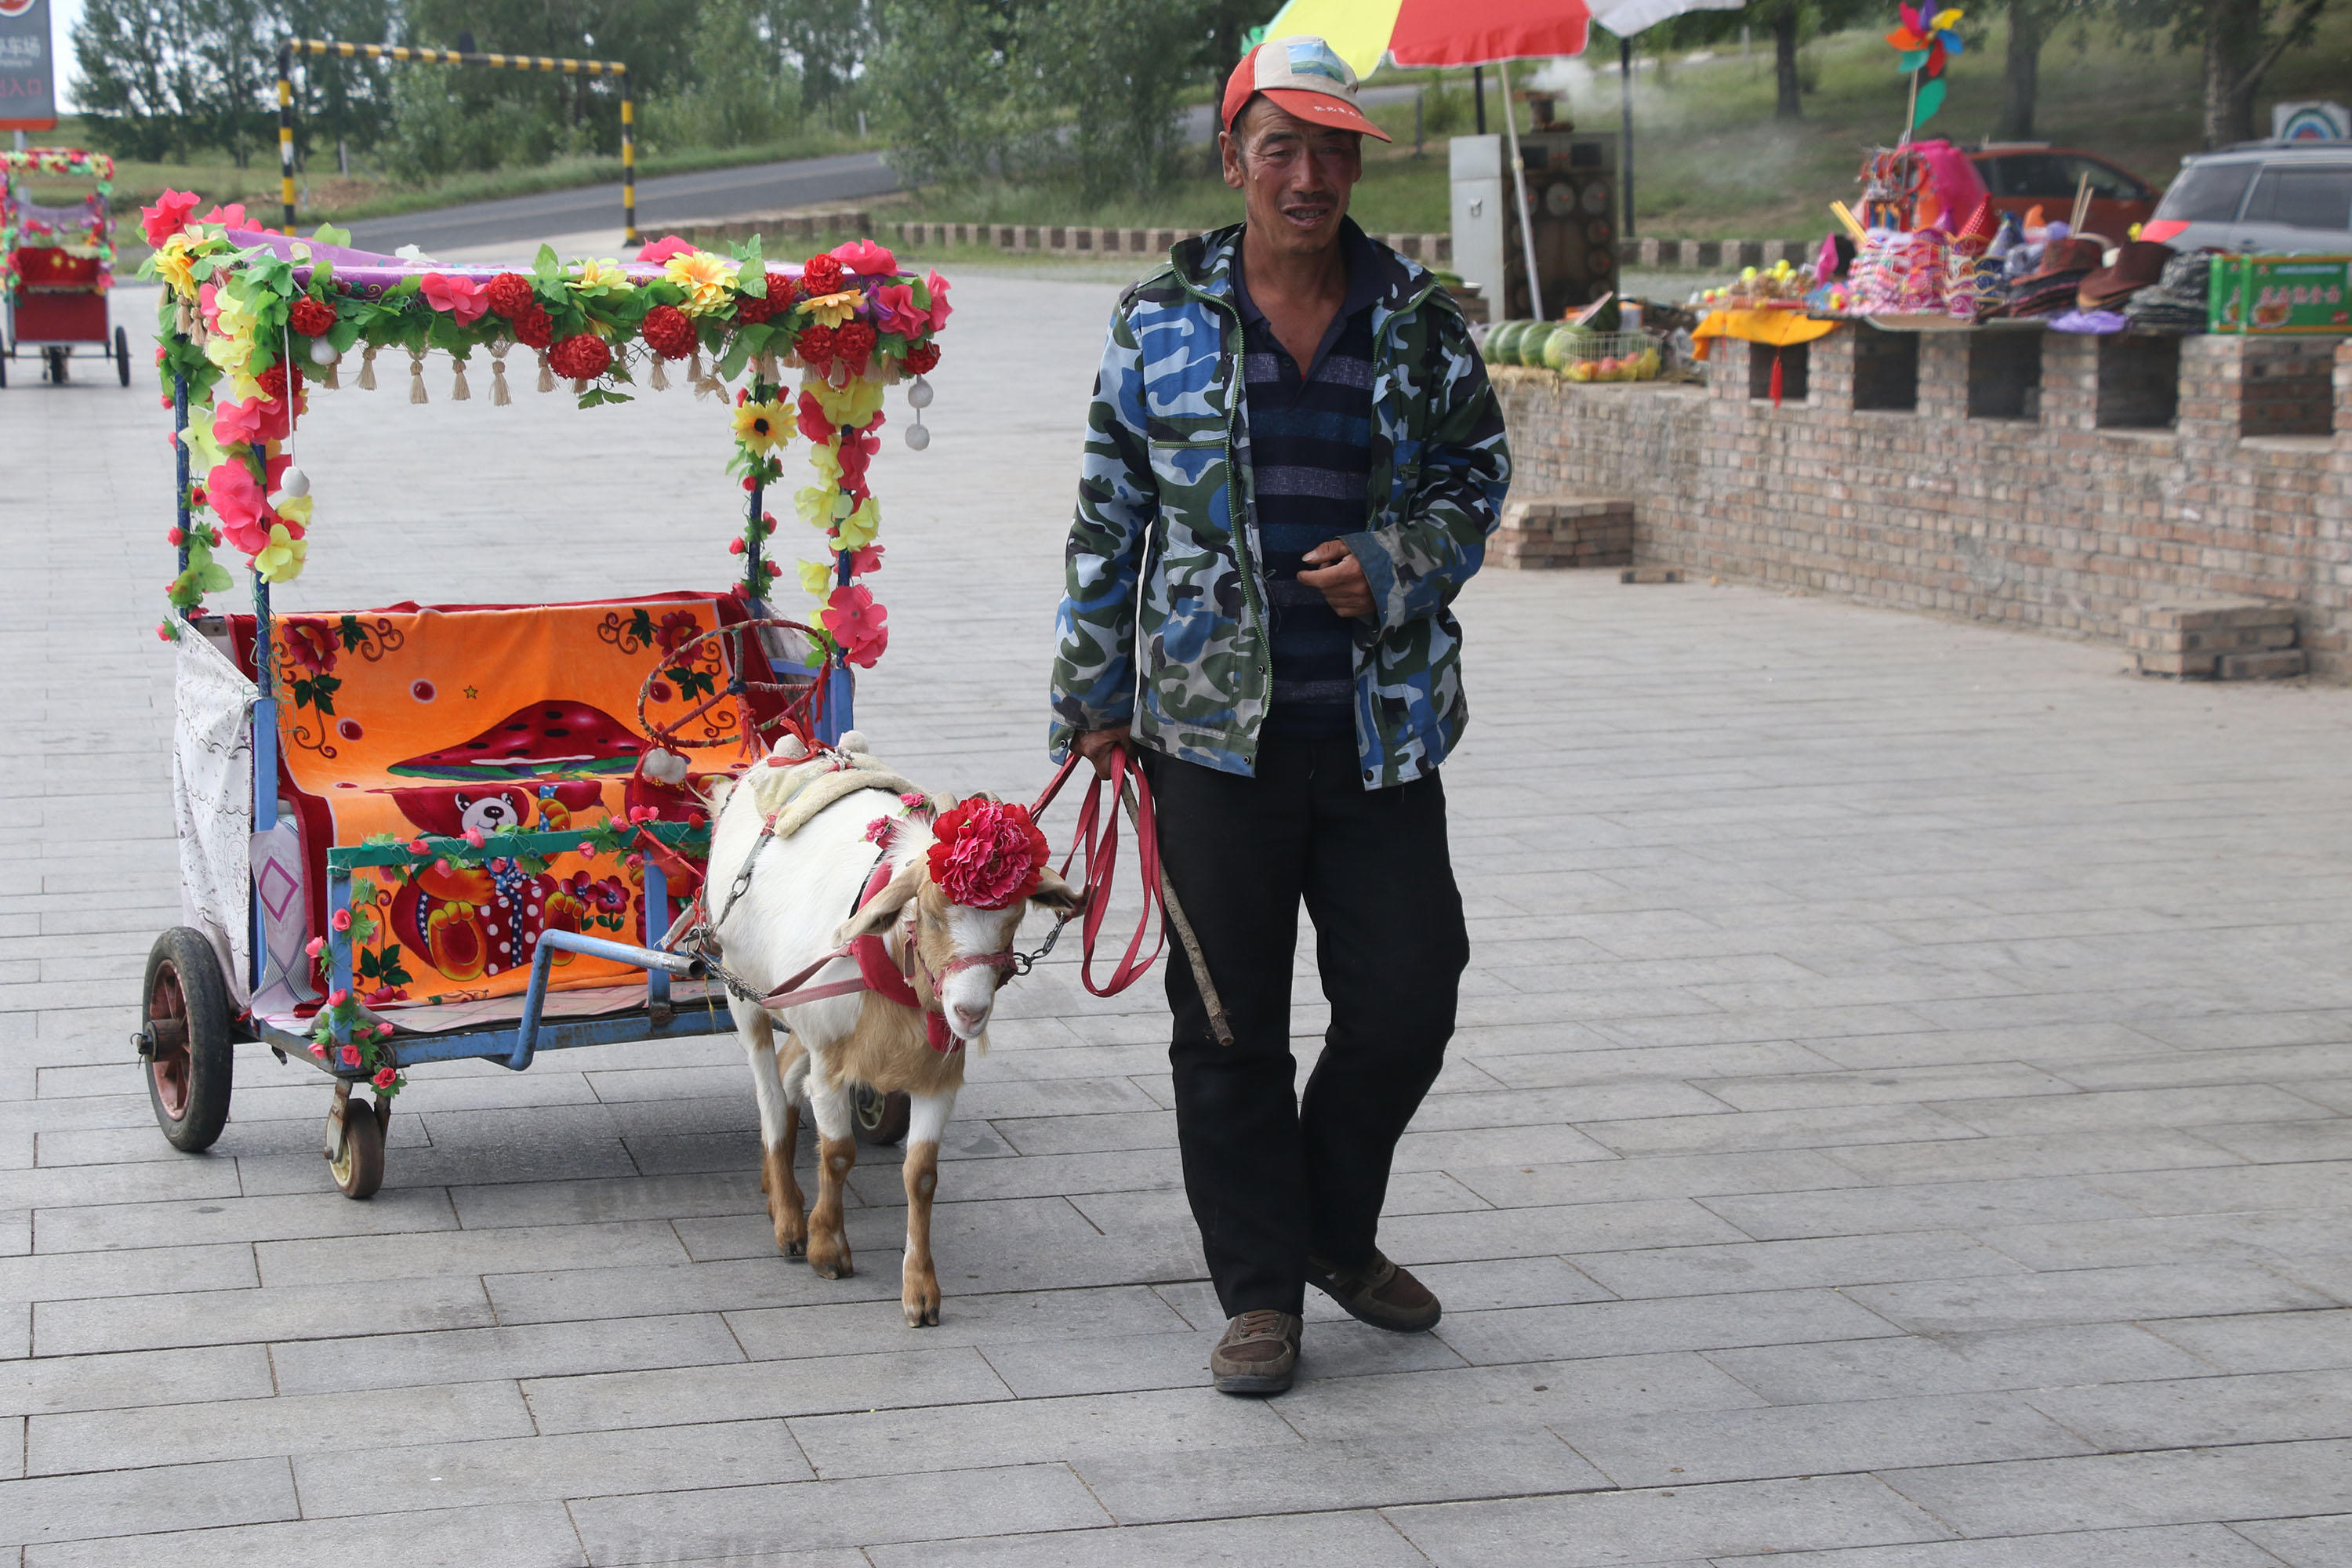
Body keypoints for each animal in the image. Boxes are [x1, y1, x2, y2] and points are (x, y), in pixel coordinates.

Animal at [701, 747, 1077, 1326]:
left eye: (1013, 919)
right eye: (932, 914)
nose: (969, 1011)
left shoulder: (937, 1074)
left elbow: (921, 1176)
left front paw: (920, 1292)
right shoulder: (831, 1061)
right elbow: (837, 1153)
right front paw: (827, 1248)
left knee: (787, 1074)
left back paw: (774, 1186)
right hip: (741, 988)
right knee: (769, 1094)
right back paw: (787, 1218)